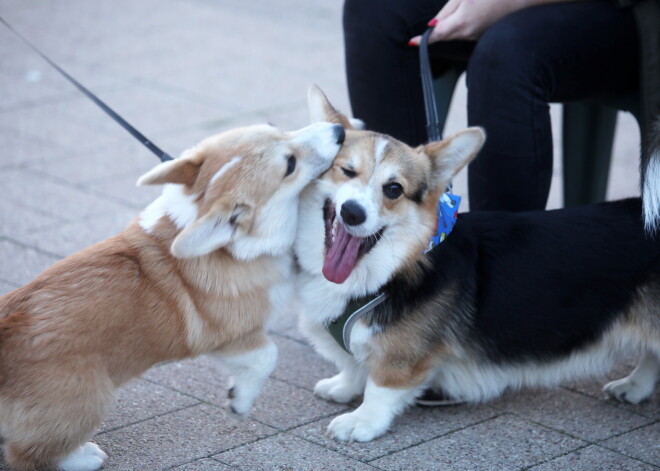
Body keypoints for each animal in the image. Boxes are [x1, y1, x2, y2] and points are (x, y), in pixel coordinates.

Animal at [0, 120, 348, 470]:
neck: (234, 246)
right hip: (91, 399)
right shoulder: (234, 334)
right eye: (290, 164)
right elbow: (267, 356)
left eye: (274, 126)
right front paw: (240, 400)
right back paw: (82, 457)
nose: (339, 130)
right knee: (26, 456)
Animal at [296, 86, 656, 444]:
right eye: (346, 170)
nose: (352, 212)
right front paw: (343, 387)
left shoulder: (401, 359)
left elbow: (381, 386)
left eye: (394, 189)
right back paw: (634, 387)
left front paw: (361, 421)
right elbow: (354, 364)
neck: (397, 266)